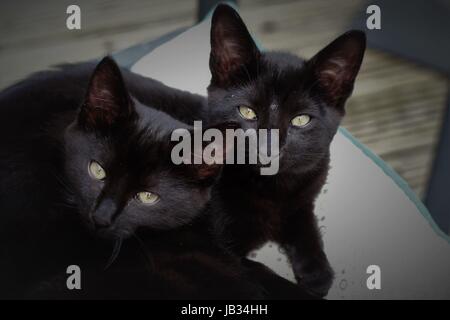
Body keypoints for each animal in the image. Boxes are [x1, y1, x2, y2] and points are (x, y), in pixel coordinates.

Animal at [206, 3, 368, 298]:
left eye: (301, 120)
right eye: (247, 112)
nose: (268, 148)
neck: (271, 189)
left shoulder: (304, 196)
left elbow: (305, 223)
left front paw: (316, 272)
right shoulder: (217, 248)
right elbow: (260, 272)